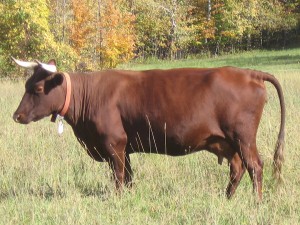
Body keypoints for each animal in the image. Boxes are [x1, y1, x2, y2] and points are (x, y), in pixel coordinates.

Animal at [11, 57, 284, 200]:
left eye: (37, 89)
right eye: (25, 85)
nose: (16, 115)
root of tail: (248, 73)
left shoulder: (114, 143)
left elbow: (119, 177)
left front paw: (118, 200)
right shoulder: (124, 148)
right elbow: (129, 176)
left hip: (243, 137)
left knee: (255, 166)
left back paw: (256, 202)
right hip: (226, 141)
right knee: (237, 167)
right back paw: (227, 197)